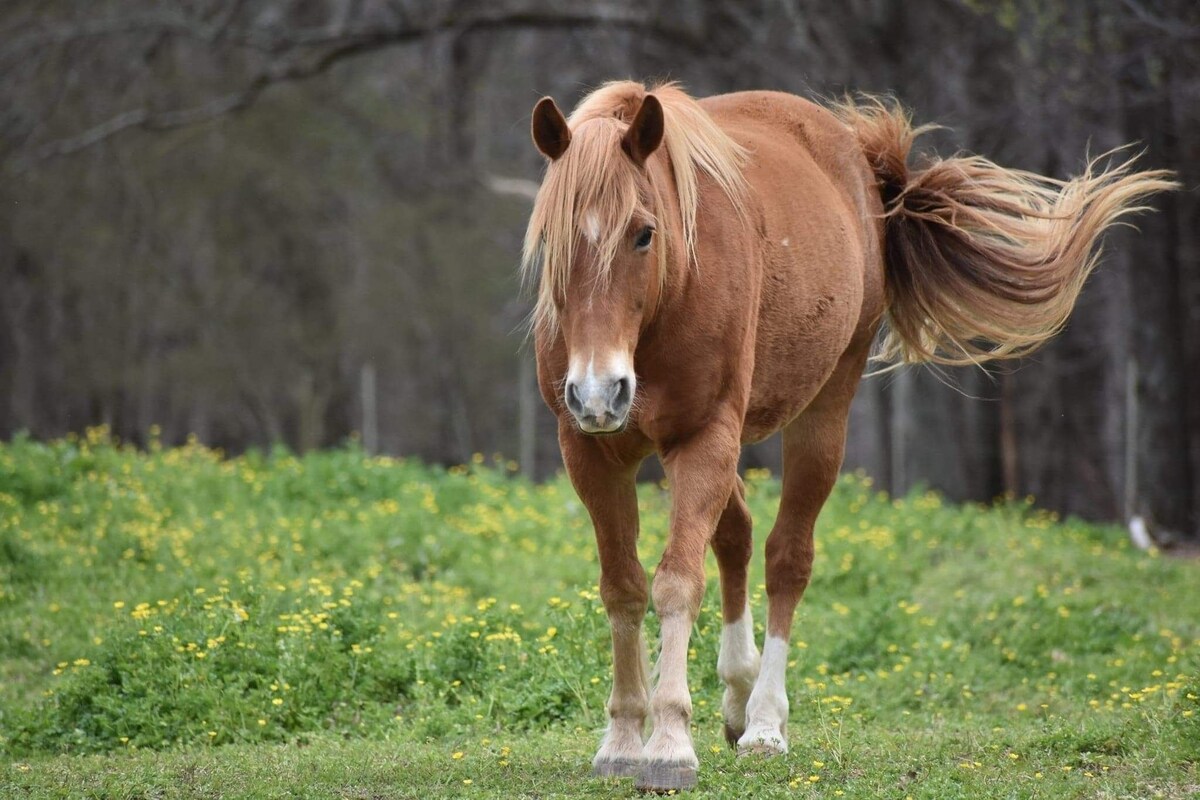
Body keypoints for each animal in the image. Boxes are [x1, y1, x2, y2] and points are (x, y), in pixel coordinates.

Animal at [518, 81, 1171, 796]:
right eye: (551, 239)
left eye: (643, 233)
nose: (598, 391)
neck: (671, 293)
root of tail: (857, 155)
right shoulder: (591, 452)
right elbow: (623, 587)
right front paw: (621, 739)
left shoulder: (702, 438)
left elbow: (675, 584)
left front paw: (668, 745)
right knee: (737, 534)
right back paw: (738, 696)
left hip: (823, 408)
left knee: (786, 558)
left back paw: (765, 723)